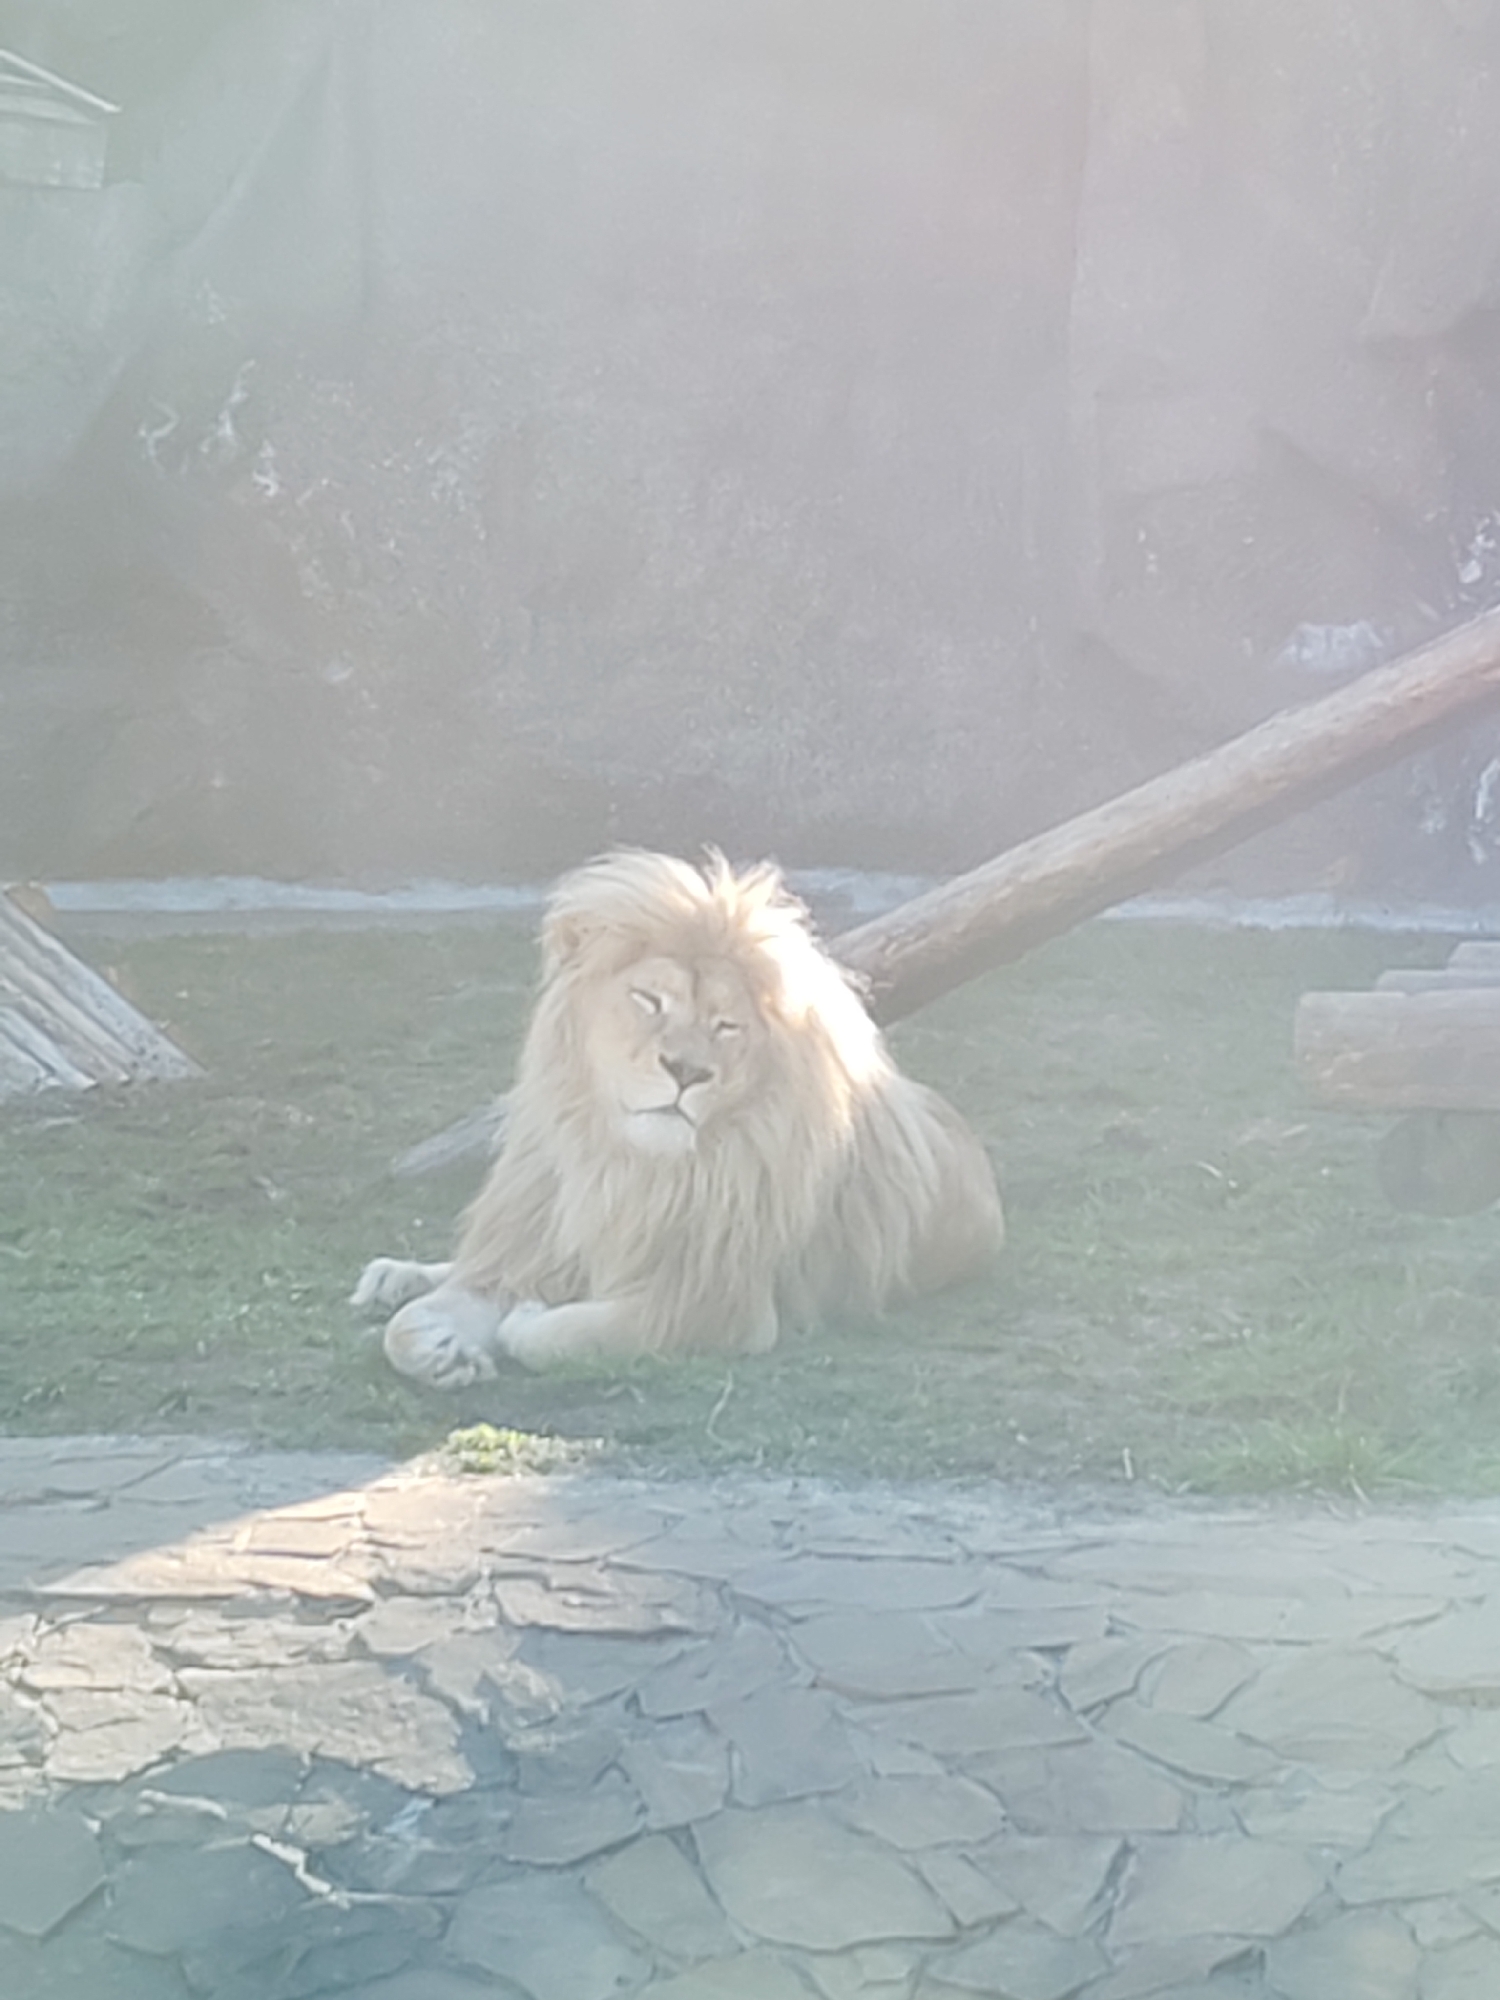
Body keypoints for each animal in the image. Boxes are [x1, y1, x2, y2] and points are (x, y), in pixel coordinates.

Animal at [352, 849, 1003, 1387]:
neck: (627, 1165)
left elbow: (556, 1334)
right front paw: (442, 1348)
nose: (686, 1071)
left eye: (726, 1026)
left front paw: (527, 1316)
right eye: (649, 1000)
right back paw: (395, 1276)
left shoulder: (714, 1304)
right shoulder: (536, 1247)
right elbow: (410, 1326)